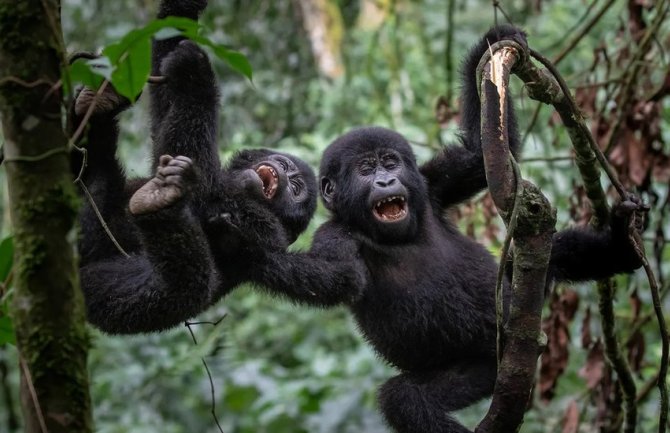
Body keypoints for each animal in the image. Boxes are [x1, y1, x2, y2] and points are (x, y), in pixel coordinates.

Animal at [249, 24, 648, 432]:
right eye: (365, 169)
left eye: (390, 162)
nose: (385, 181)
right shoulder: (335, 235)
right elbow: (335, 277)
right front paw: (252, 251)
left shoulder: (431, 184)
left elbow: (476, 155)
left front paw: (489, 46)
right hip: (484, 369)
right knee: (406, 398)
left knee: (550, 255)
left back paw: (622, 245)